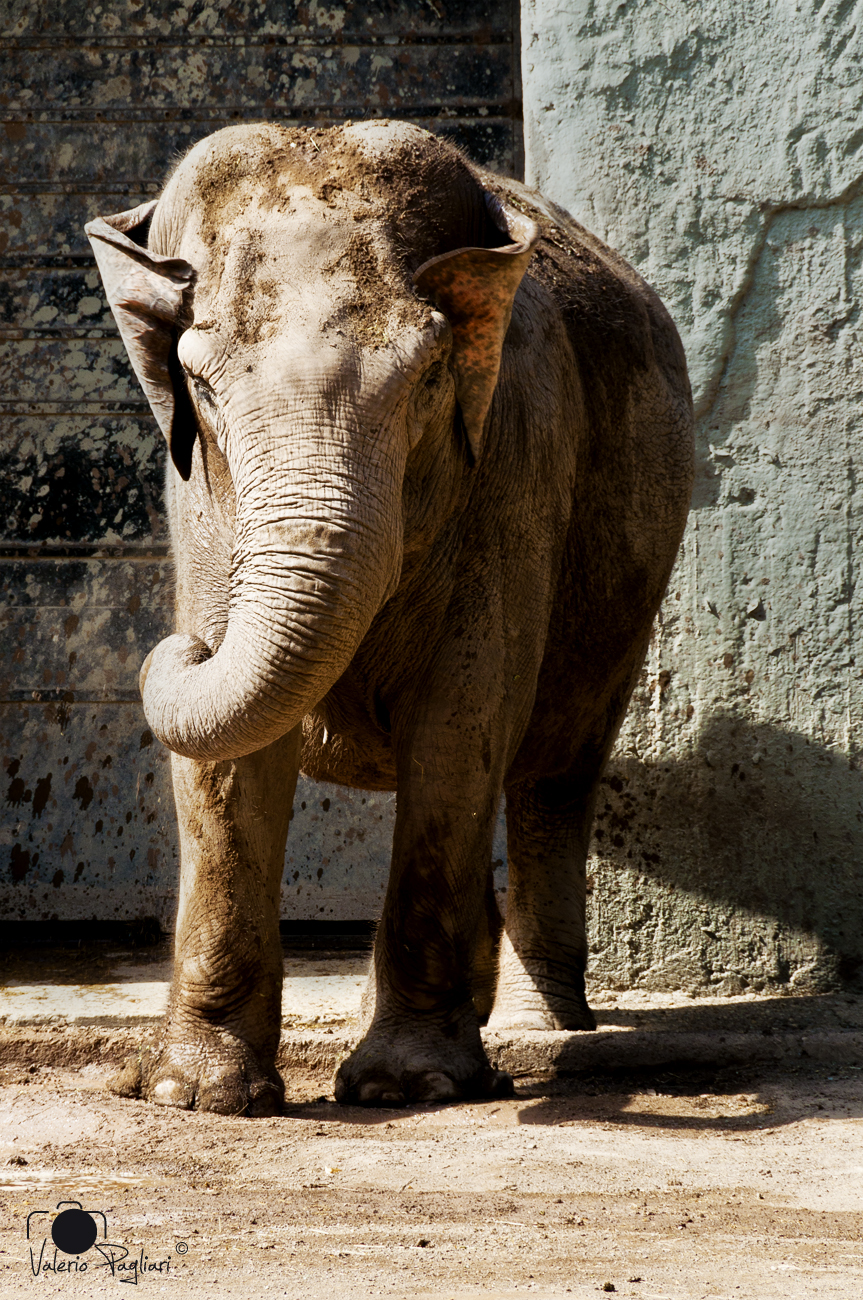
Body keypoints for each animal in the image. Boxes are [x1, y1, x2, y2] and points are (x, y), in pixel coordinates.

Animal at [86, 119, 693, 1114]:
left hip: (633, 575)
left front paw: (409, 1086)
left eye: (428, 378)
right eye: (200, 387)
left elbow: (460, 722)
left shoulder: (513, 461)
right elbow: (225, 764)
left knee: (552, 774)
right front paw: (194, 1093)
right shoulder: (199, 504)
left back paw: (539, 1028)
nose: (181, 641)